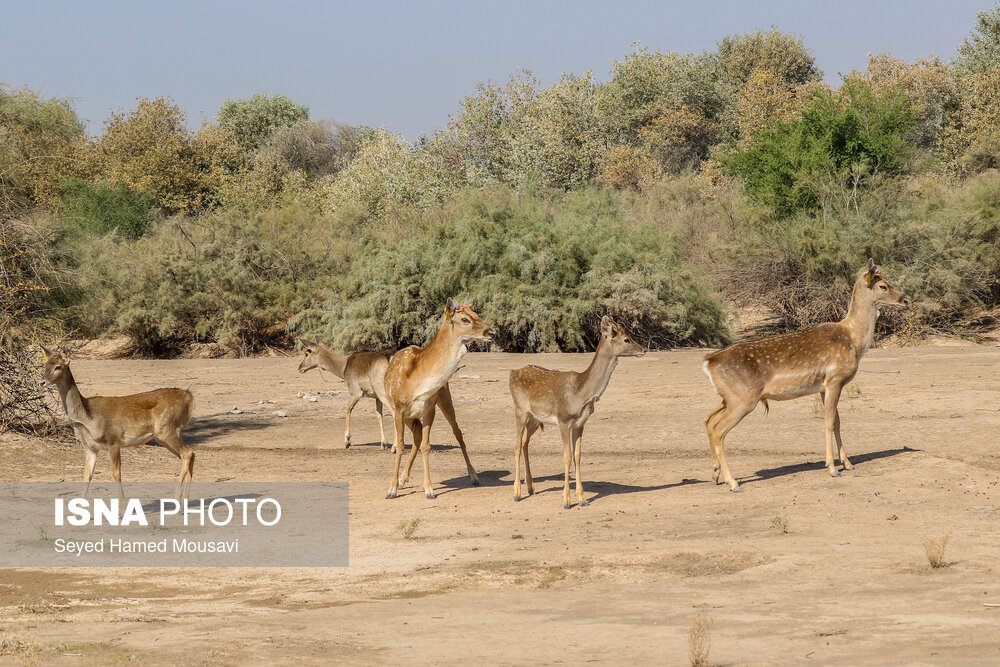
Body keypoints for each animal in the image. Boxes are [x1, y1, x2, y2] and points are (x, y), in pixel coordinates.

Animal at [40, 348, 195, 504]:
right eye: (45, 365)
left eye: (58, 367)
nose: (42, 382)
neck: (87, 419)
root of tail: (189, 397)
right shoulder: (90, 447)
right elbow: (86, 476)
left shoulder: (113, 440)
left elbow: (116, 474)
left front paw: (123, 506)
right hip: (162, 436)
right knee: (190, 454)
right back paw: (184, 501)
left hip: (168, 429)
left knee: (187, 454)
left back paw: (177, 497)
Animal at [296, 334, 480, 454]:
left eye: (307, 352)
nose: (300, 368)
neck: (343, 367)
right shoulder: (376, 397)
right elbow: (378, 414)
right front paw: (382, 443)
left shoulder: (355, 391)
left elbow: (348, 408)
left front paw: (347, 441)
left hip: (385, 391)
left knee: (394, 412)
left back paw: (395, 447)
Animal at [382, 298, 492, 500]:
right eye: (465, 319)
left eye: (476, 314)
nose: (491, 332)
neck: (417, 382)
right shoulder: (399, 409)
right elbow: (401, 446)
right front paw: (391, 490)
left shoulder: (429, 408)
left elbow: (426, 446)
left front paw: (429, 490)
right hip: (407, 415)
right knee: (416, 437)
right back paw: (402, 480)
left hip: (445, 397)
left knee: (457, 433)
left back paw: (474, 476)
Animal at [512, 318, 644, 512]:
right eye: (627, 339)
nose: (643, 349)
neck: (581, 395)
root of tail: (512, 373)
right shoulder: (563, 420)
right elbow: (567, 457)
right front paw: (566, 501)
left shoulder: (580, 423)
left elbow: (577, 456)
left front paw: (582, 498)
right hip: (519, 410)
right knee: (516, 445)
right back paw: (517, 493)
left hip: (534, 419)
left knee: (524, 442)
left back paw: (531, 488)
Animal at [704, 258, 908, 494]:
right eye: (883, 286)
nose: (905, 300)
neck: (854, 341)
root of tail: (709, 362)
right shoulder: (835, 380)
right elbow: (829, 421)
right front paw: (833, 468)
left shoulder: (824, 387)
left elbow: (837, 421)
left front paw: (848, 463)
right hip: (743, 399)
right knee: (718, 430)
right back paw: (733, 483)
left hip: (730, 397)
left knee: (708, 419)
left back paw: (716, 474)